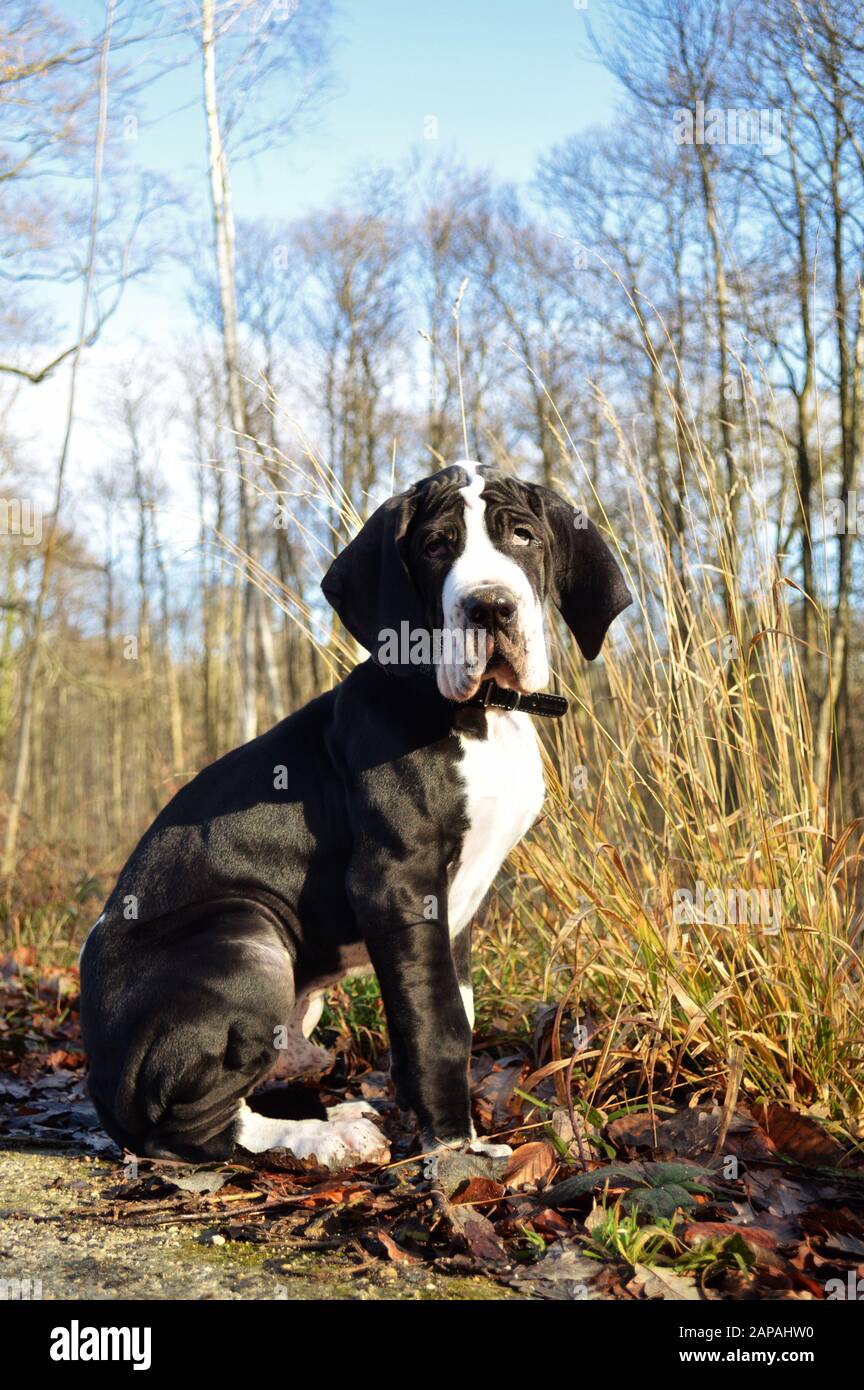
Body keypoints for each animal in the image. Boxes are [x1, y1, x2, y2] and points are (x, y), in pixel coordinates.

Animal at [79, 461, 630, 1167]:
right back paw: (318, 1135)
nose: (489, 606)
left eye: (524, 536)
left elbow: (454, 1007)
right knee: (190, 1128)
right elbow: (437, 1024)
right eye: (436, 546)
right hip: (248, 937)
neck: (479, 714)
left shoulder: (454, 908)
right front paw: (454, 1145)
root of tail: (100, 1084)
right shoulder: (396, 883)